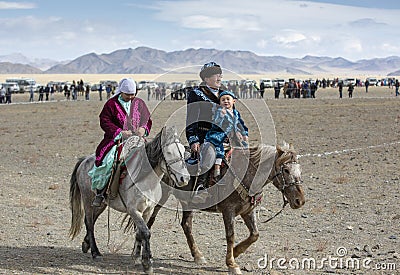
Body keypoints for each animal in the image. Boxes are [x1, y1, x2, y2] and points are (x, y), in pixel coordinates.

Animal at [69, 126, 191, 274]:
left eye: (183, 152)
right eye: (168, 152)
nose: (184, 179)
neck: (146, 181)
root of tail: (84, 160)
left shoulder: (148, 211)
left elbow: (140, 232)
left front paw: (137, 258)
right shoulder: (134, 211)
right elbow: (145, 232)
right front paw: (147, 263)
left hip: (100, 204)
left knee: (92, 220)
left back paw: (86, 244)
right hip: (87, 199)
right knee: (89, 222)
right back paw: (95, 252)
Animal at [126, 143, 304, 274]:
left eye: (300, 170)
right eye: (286, 170)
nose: (300, 201)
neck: (246, 173)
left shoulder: (248, 211)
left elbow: (254, 234)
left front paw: (237, 252)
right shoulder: (228, 210)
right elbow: (230, 236)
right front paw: (232, 263)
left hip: (187, 203)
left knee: (186, 225)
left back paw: (198, 255)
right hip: (160, 198)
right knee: (148, 222)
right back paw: (137, 255)